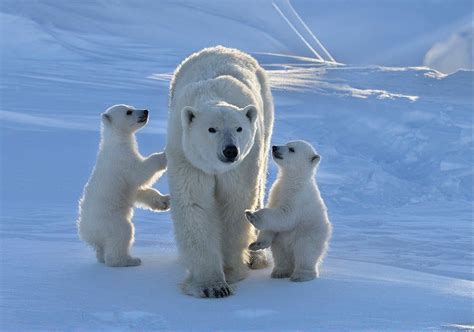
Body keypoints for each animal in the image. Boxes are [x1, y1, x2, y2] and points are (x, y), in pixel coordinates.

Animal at [167, 46, 274, 298]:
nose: (230, 150)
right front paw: (211, 285)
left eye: (239, 128)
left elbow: (235, 204)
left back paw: (256, 258)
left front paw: (231, 271)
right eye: (211, 129)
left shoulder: (242, 165)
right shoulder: (187, 157)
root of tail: (224, 48)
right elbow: (195, 205)